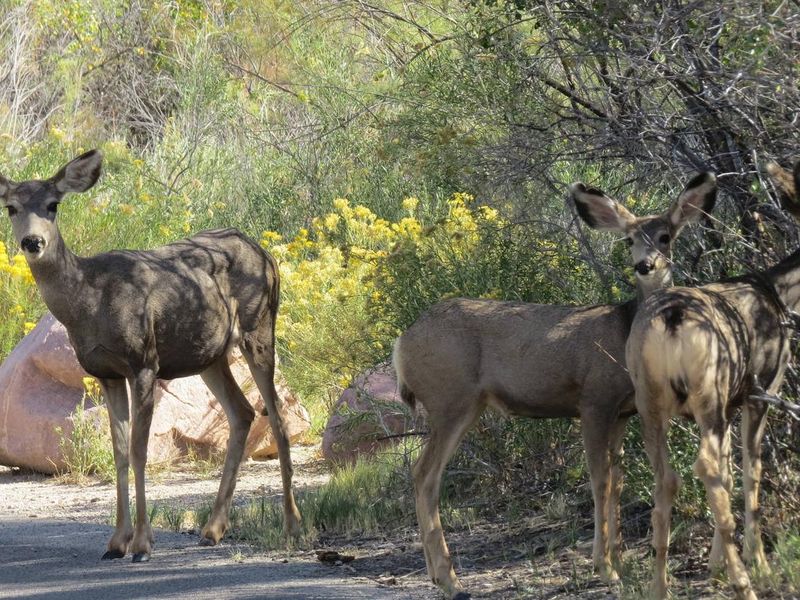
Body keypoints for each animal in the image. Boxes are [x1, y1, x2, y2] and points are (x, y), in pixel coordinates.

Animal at [0, 150, 301, 562]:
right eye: (11, 207)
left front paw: (142, 543)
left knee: (278, 418)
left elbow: (140, 450)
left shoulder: (143, 361)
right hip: (209, 354)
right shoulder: (105, 372)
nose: (33, 241)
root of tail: (265, 252)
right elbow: (119, 451)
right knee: (242, 412)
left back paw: (292, 525)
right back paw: (212, 529)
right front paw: (116, 543)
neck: (88, 300)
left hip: (260, 327)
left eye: (53, 205)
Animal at [392, 172, 718, 599]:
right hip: (450, 399)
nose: (644, 265)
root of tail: (402, 343)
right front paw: (605, 569)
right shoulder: (594, 400)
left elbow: (617, 483)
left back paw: (438, 575)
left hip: (464, 404)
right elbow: (600, 480)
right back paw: (449, 579)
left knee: (424, 474)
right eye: (629, 239)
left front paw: (620, 561)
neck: (624, 332)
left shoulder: (623, 412)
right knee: (424, 473)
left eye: (665, 236)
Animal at [625, 160, 800, 600]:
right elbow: (750, 470)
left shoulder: (731, 403)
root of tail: (671, 319)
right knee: (703, 466)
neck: (778, 290)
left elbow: (728, 471)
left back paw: (660, 587)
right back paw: (745, 584)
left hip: (650, 400)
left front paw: (716, 564)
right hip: (708, 390)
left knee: (667, 478)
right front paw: (758, 564)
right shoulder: (761, 390)